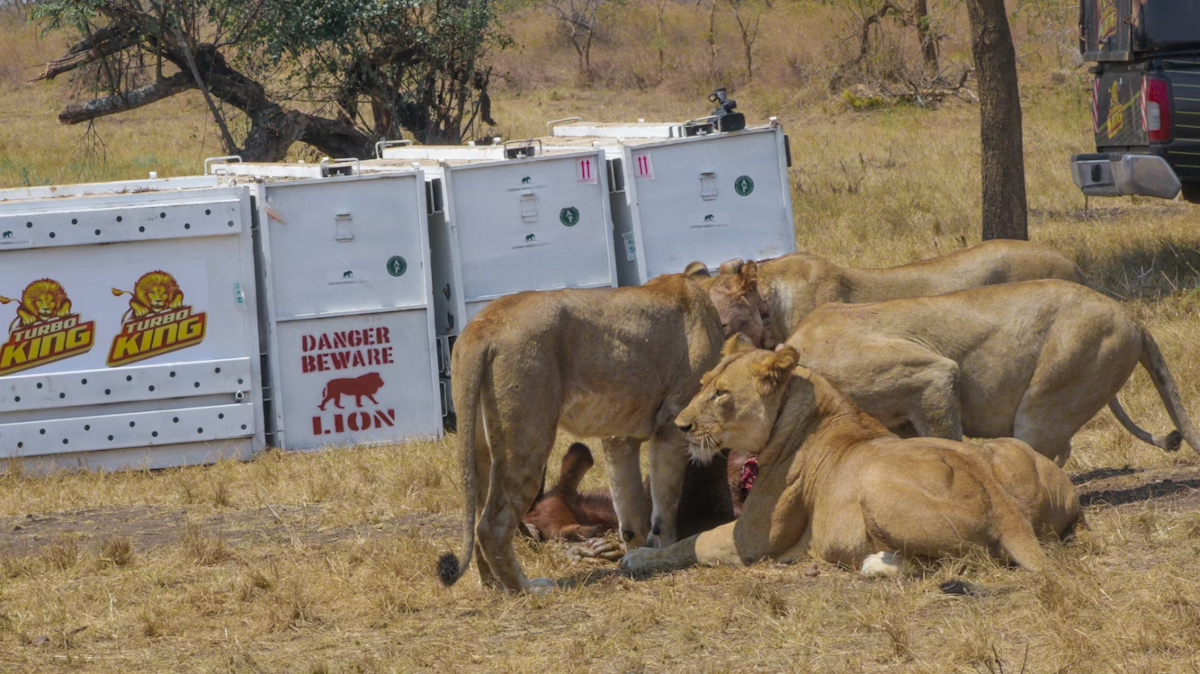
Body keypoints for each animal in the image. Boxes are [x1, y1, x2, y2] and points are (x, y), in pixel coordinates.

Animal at [439, 267, 724, 587]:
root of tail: (482, 324)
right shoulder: (672, 423)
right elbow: (664, 507)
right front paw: (662, 552)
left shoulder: (619, 436)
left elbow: (631, 510)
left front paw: (633, 554)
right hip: (527, 441)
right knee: (491, 524)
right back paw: (527, 588)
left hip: (479, 444)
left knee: (478, 517)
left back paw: (494, 585)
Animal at [619, 335, 1089, 578]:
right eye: (702, 385)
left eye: (721, 393)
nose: (680, 425)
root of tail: (1005, 508)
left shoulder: (752, 540)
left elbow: (691, 542)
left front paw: (637, 557)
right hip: (1009, 455)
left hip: (874, 483)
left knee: (963, 561)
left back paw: (877, 563)